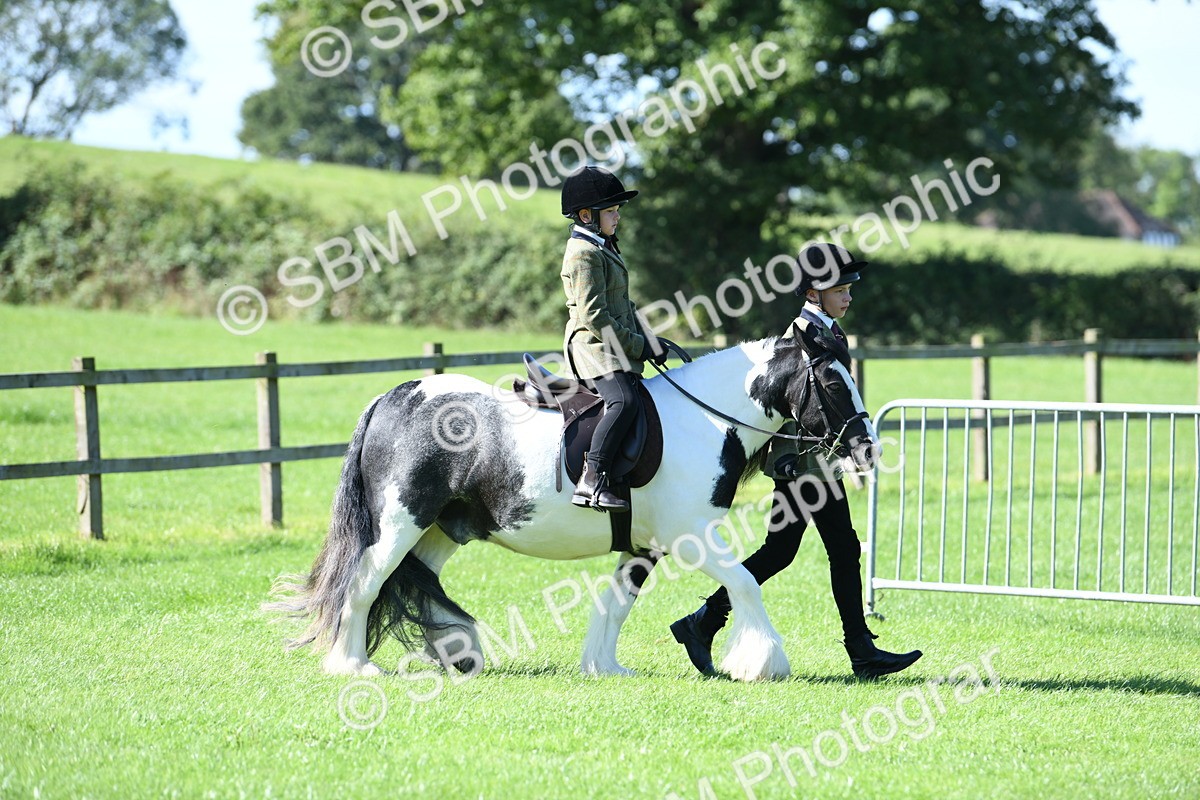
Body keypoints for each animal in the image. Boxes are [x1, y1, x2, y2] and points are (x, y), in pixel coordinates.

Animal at [268, 328, 878, 682]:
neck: (703, 420)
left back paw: (457, 653)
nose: (867, 447)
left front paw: (604, 667)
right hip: (400, 523)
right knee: (363, 585)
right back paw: (352, 665)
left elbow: (615, 604)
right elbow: (747, 584)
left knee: (416, 582)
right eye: (833, 382)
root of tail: (395, 396)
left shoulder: (643, 547)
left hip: (440, 530)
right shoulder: (694, 537)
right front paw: (761, 662)